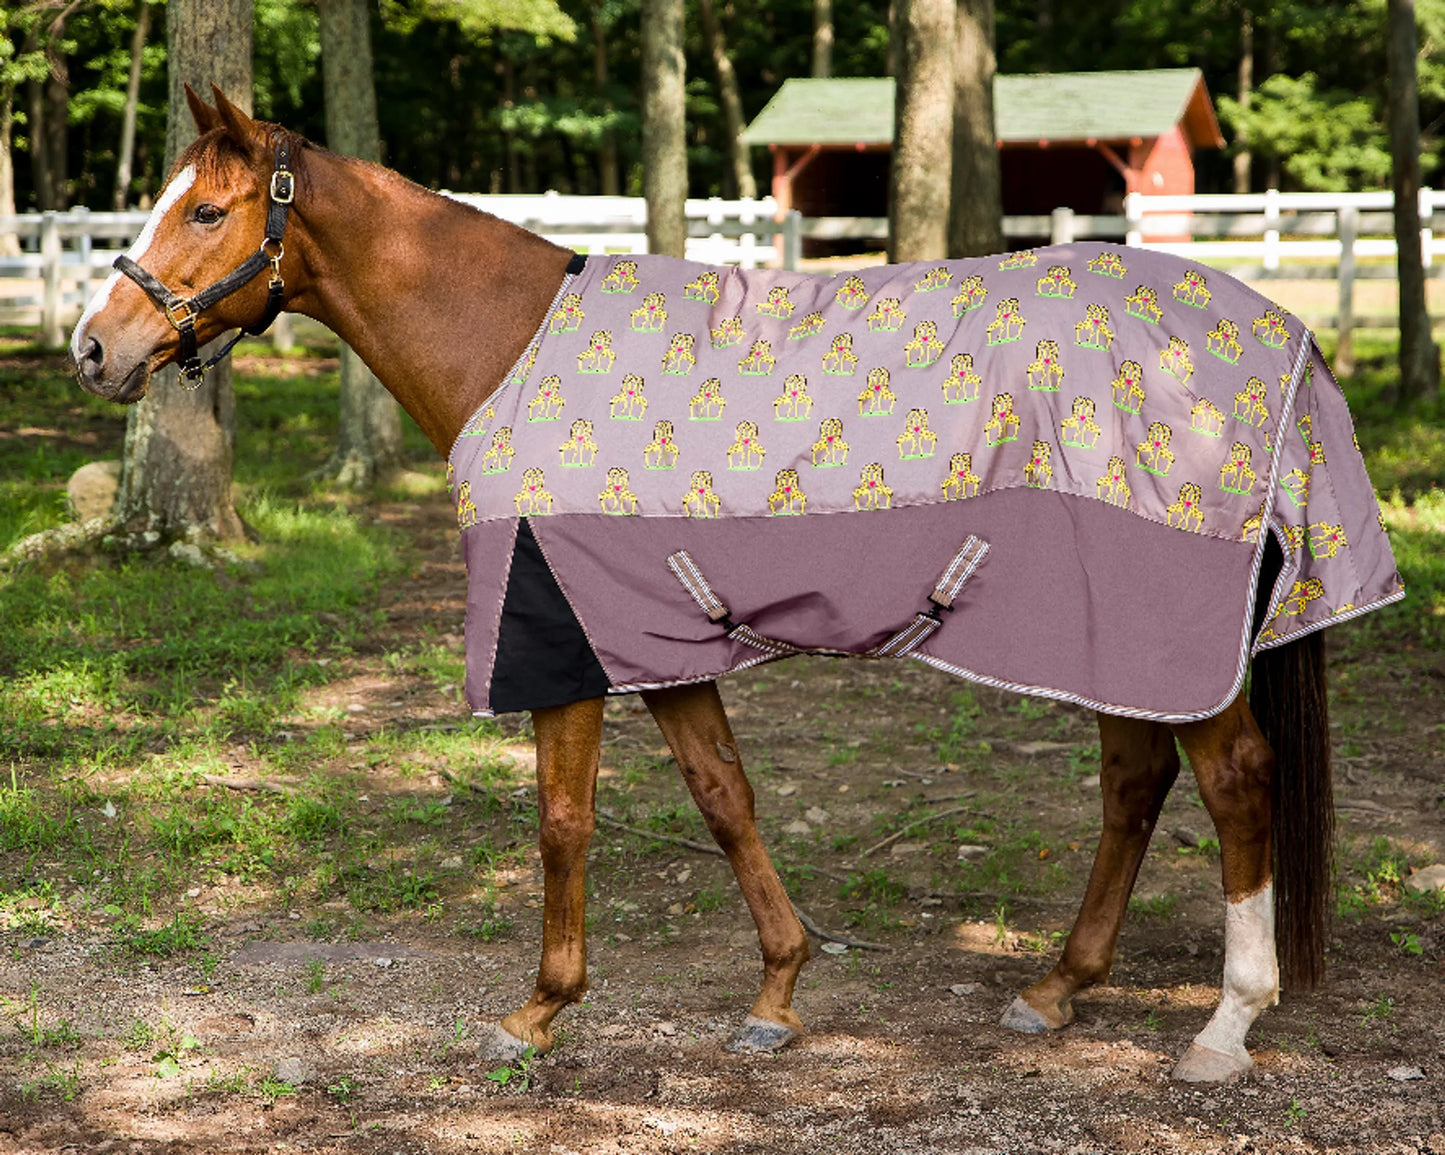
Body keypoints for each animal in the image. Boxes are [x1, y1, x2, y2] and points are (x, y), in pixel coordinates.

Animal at [72, 87, 1373, 1085]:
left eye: (205, 208)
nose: (95, 349)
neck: (507, 343)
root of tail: (1284, 340)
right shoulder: (651, 636)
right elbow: (724, 796)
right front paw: (777, 994)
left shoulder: (559, 635)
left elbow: (562, 823)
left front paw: (535, 1013)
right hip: (1108, 635)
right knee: (1133, 784)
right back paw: (1055, 988)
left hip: (1168, 632)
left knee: (1233, 784)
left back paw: (1221, 1029)